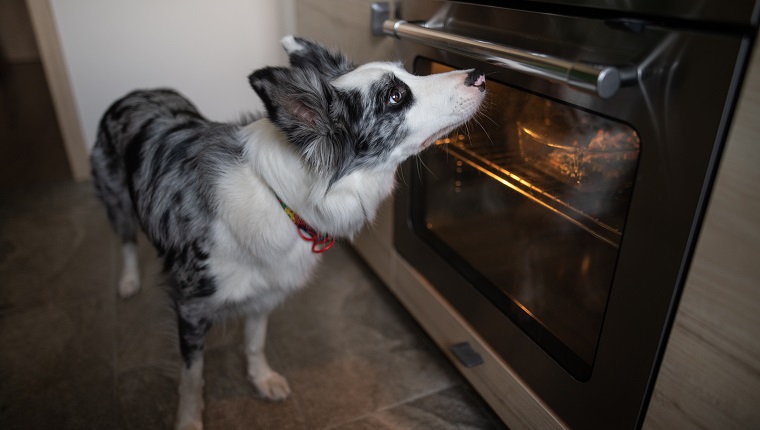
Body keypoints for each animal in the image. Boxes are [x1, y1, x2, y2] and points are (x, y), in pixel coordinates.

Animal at [90, 35, 486, 428]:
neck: (282, 199)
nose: (480, 75)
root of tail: (137, 91)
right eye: (394, 97)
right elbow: (192, 376)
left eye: (408, 73)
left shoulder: (266, 290)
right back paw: (128, 281)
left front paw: (261, 379)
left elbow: (254, 342)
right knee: (125, 239)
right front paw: (188, 420)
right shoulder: (191, 308)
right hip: (117, 201)